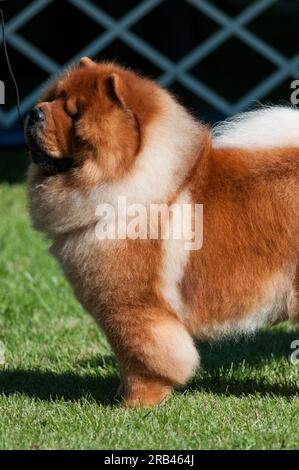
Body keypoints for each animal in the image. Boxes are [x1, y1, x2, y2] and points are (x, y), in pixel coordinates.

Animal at [25, 57, 299, 406]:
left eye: (74, 114)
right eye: (51, 98)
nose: (35, 112)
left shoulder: (133, 308)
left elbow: (142, 358)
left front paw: (134, 405)